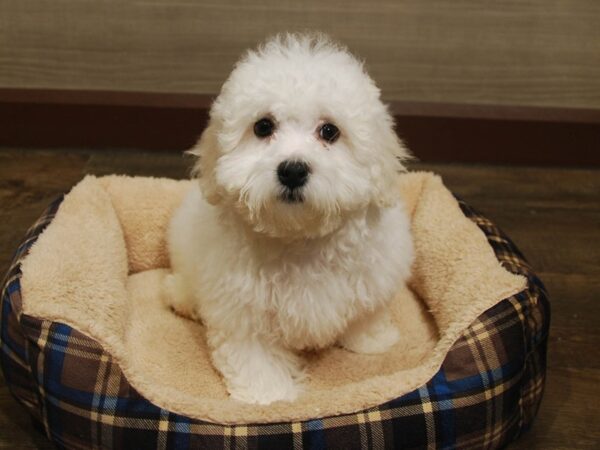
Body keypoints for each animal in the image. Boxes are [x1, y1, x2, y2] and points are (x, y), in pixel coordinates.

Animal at [166, 31, 414, 404]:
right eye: (263, 126)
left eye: (329, 131)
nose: (293, 170)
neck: (300, 238)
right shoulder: (241, 309)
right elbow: (253, 354)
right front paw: (268, 395)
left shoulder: (373, 274)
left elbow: (367, 314)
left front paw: (372, 341)